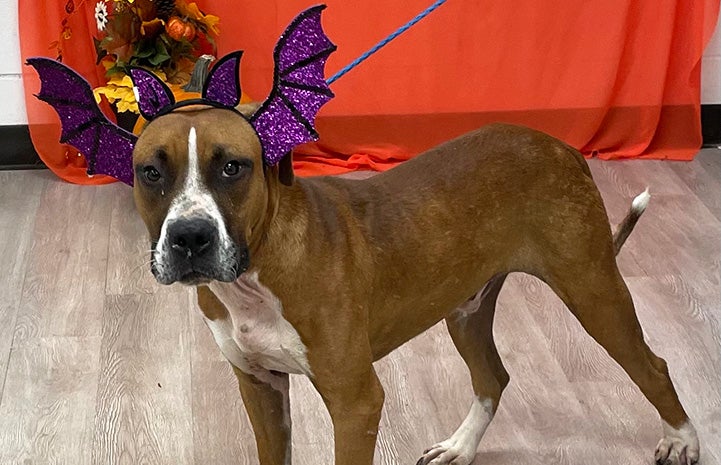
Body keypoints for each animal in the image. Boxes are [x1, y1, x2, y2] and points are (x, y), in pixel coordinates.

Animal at [134, 105, 696, 464]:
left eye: (233, 167)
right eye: (149, 172)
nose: (190, 236)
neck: (256, 275)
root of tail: (560, 147)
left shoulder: (356, 403)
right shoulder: (261, 387)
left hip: (592, 290)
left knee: (654, 367)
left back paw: (683, 440)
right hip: (466, 310)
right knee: (493, 378)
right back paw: (460, 447)